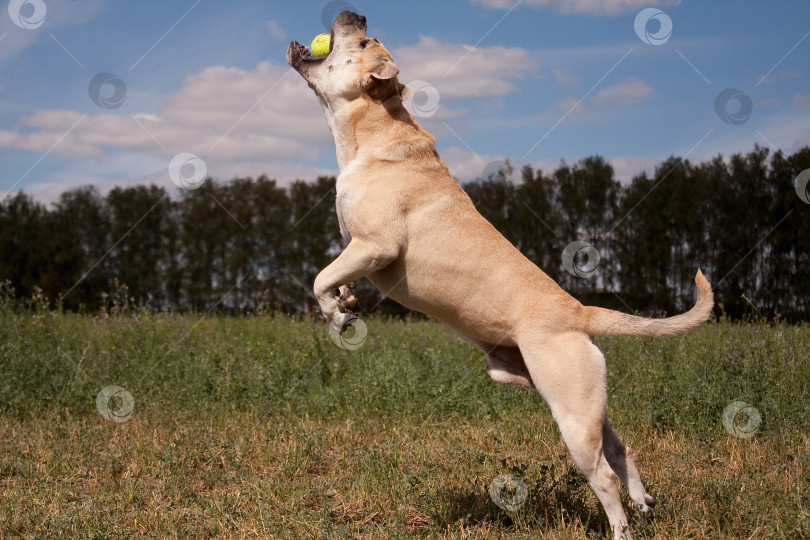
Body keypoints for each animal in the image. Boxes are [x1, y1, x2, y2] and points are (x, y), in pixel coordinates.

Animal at [288, 12, 712, 540]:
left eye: (365, 41)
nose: (356, 14)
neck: (372, 128)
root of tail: (580, 312)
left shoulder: (374, 247)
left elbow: (319, 277)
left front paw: (334, 312)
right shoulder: (357, 249)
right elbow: (335, 275)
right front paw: (346, 303)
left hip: (572, 414)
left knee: (604, 476)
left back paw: (621, 527)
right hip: (581, 400)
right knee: (621, 448)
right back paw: (646, 502)